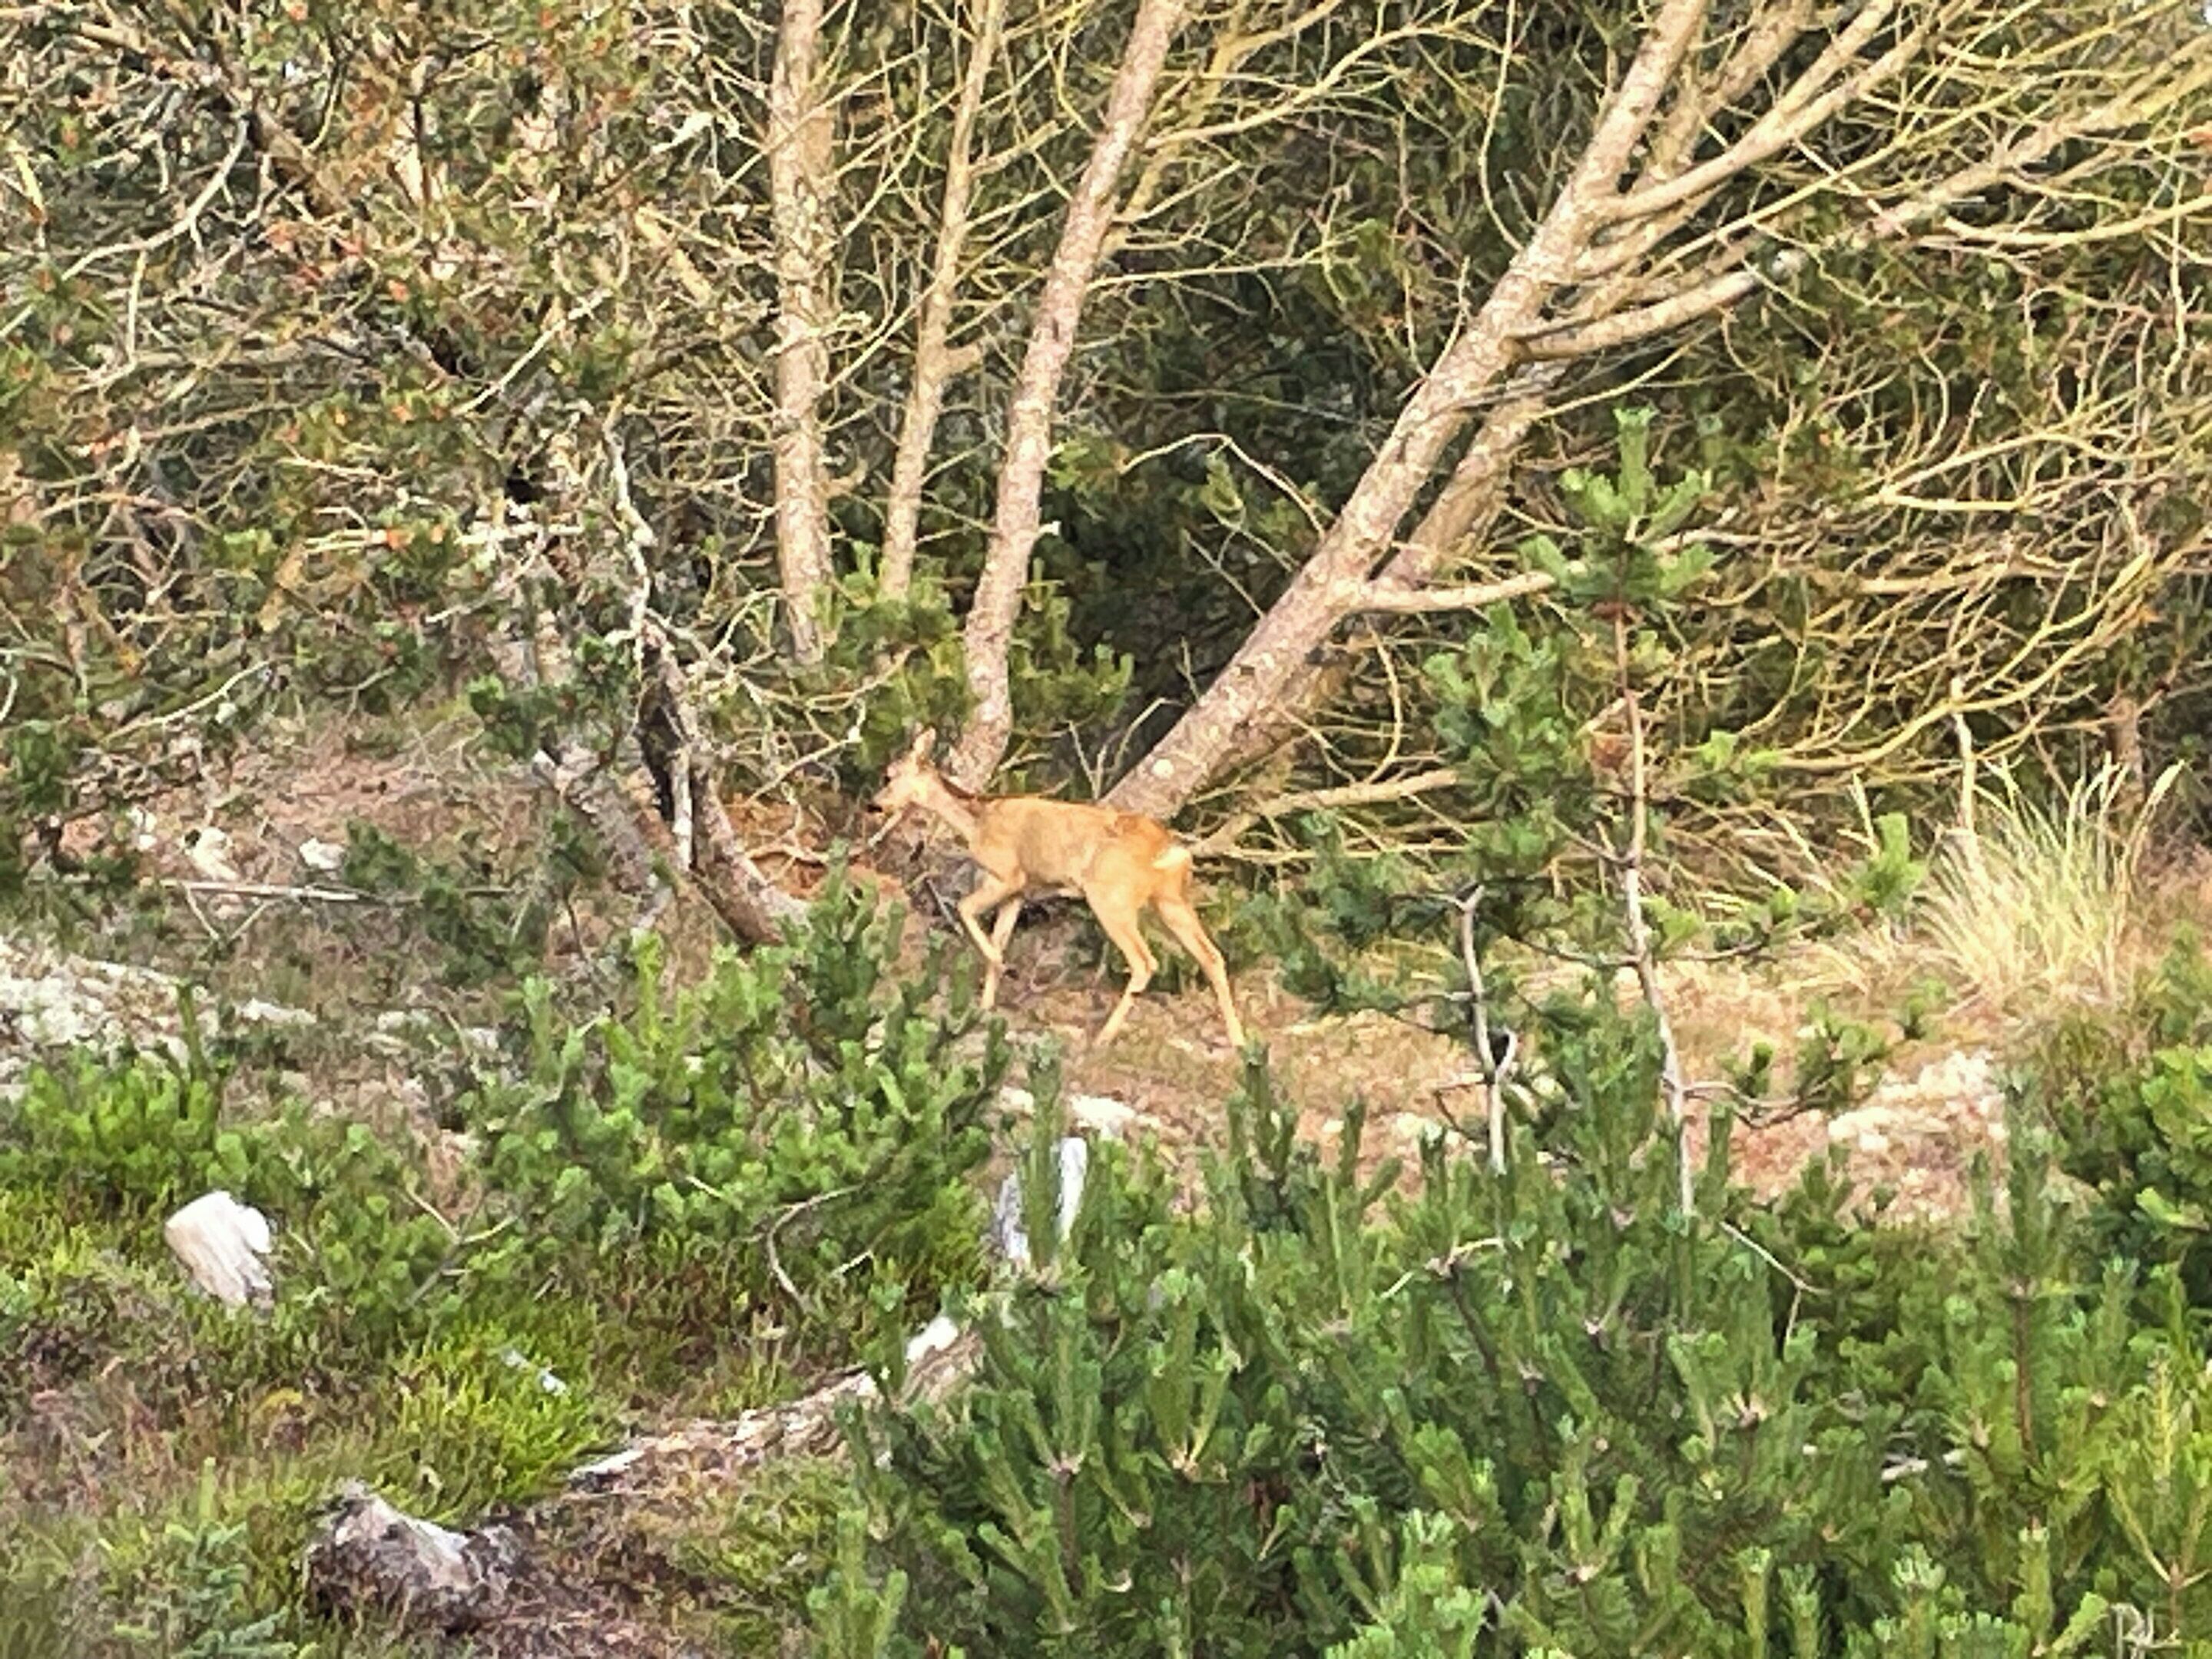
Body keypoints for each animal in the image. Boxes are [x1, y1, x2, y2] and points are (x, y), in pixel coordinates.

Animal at [871, 730, 1246, 1051]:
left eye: (888, 775)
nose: (873, 805)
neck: (977, 823)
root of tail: (1168, 850)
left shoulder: (1007, 875)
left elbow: (965, 910)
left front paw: (1006, 972)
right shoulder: (1019, 892)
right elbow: (998, 938)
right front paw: (987, 1005)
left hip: (1111, 897)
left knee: (1145, 962)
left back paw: (1103, 1038)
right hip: (1171, 899)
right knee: (1212, 956)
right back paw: (1238, 1040)